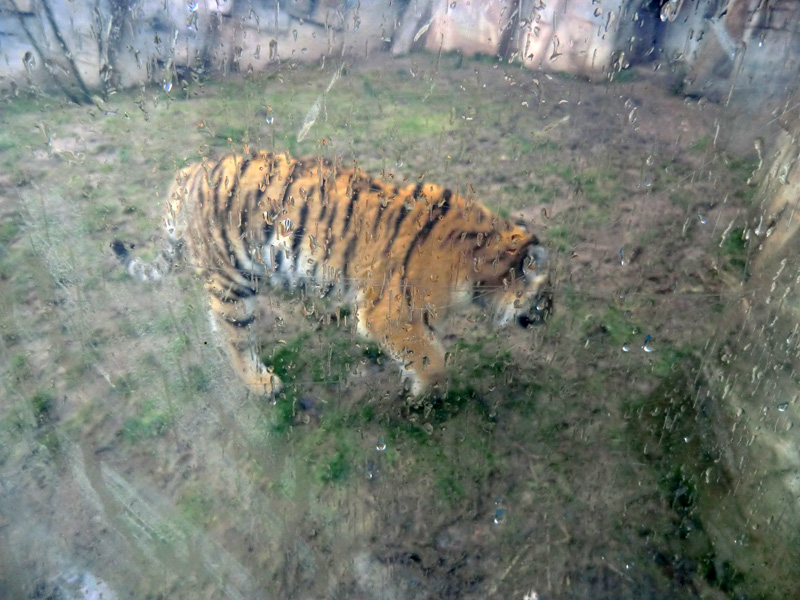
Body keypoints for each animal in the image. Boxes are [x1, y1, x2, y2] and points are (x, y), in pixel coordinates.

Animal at [114, 150, 552, 396]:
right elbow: (434, 362)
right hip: (231, 282)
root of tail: (188, 172)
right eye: (547, 295)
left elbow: (428, 352)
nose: (550, 315)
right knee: (232, 337)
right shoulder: (390, 315)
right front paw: (424, 395)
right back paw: (262, 385)